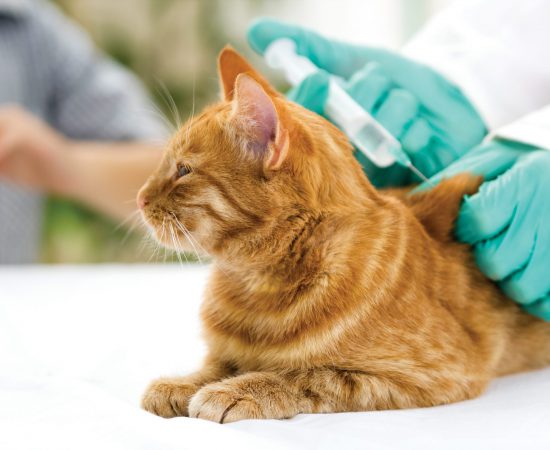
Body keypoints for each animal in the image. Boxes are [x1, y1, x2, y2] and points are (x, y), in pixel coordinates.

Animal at [137, 45, 550, 422]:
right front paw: (183, 383)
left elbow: (305, 375)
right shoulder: (225, 351)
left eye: (183, 170)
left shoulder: (435, 374)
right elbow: (216, 364)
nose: (140, 198)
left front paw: (240, 390)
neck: (256, 286)